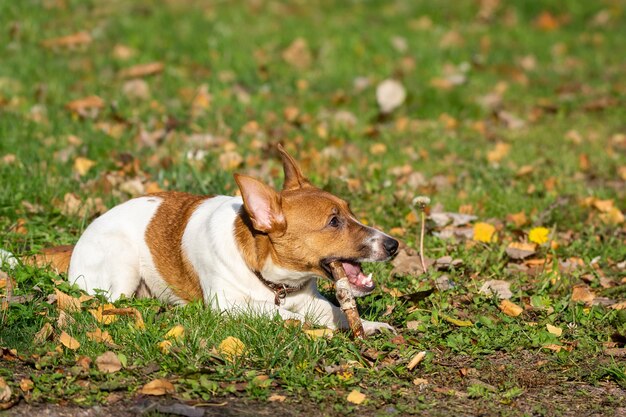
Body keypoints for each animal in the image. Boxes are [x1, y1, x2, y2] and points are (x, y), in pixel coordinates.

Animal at [68, 145, 398, 334]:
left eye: (350, 210)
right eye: (333, 222)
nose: (393, 245)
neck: (275, 280)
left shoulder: (311, 299)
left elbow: (337, 312)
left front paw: (370, 326)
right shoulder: (227, 304)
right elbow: (280, 313)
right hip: (123, 268)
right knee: (108, 301)